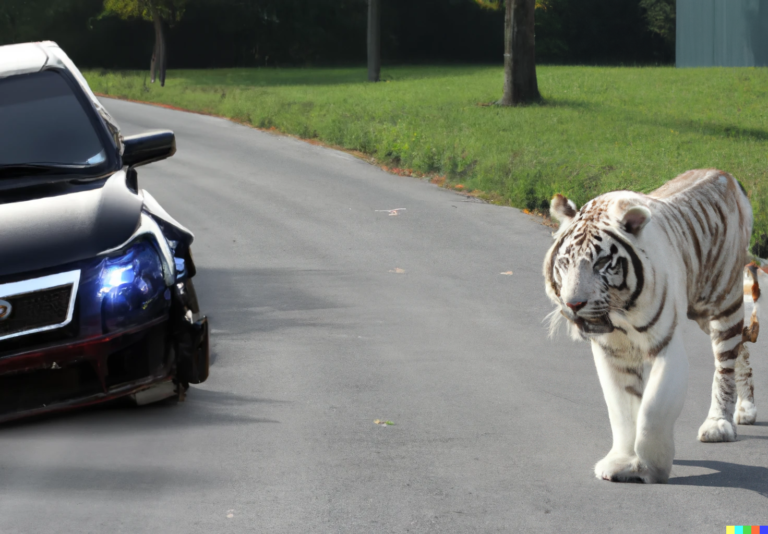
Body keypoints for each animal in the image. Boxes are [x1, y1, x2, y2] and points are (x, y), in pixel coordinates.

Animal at [543, 169, 759, 484]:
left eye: (603, 262)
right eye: (565, 261)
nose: (574, 304)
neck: (621, 314)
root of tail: (726, 175)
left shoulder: (666, 345)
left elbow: (653, 408)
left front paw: (651, 466)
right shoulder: (611, 352)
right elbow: (622, 408)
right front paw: (622, 461)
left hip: (724, 305)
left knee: (725, 364)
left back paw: (719, 424)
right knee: (742, 350)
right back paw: (746, 408)